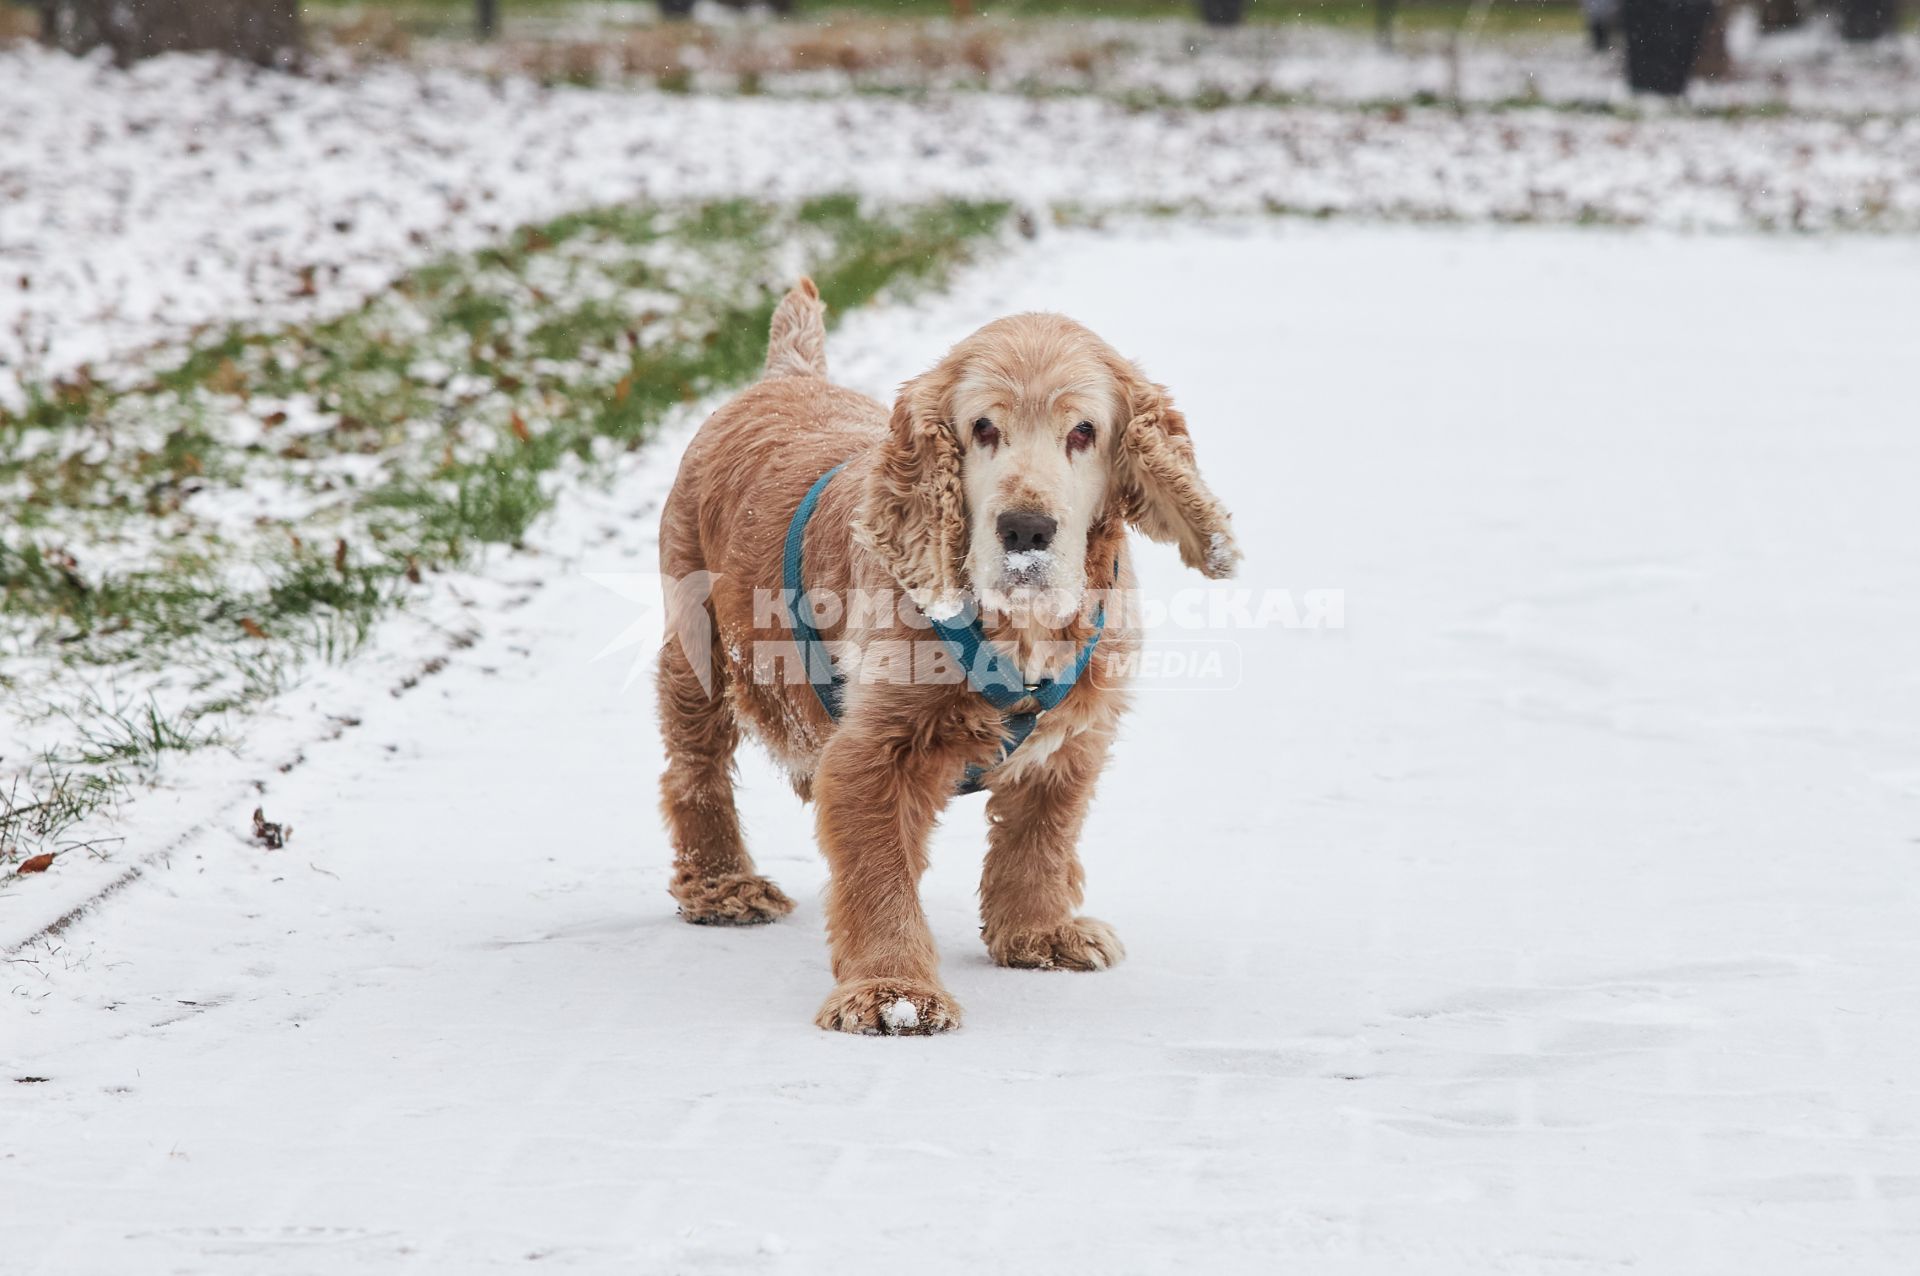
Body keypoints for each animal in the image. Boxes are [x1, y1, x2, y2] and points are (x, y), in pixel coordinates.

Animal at [652, 278, 1236, 1036]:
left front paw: (1039, 934)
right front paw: (893, 993)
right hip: (699, 650)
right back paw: (724, 886)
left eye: (1083, 432)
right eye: (983, 428)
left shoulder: (1073, 740)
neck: (1017, 632)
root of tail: (786, 377)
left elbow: (1040, 837)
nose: (1026, 530)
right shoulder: (877, 750)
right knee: (693, 771)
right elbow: (879, 872)